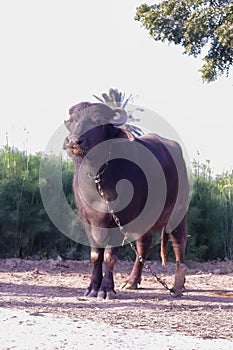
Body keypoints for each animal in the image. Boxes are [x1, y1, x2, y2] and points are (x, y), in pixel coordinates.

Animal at [63, 100, 189, 298]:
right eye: (73, 120)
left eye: (98, 122)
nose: (74, 141)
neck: (98, 178)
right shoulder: (87, 220)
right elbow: (95, 255)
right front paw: (92, 288)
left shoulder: (120, 218)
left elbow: (109, 256)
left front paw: (106, 289)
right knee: (143, 244)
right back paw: (132, 281)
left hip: (178, 212)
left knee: (178, 242)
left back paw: (177, 286)